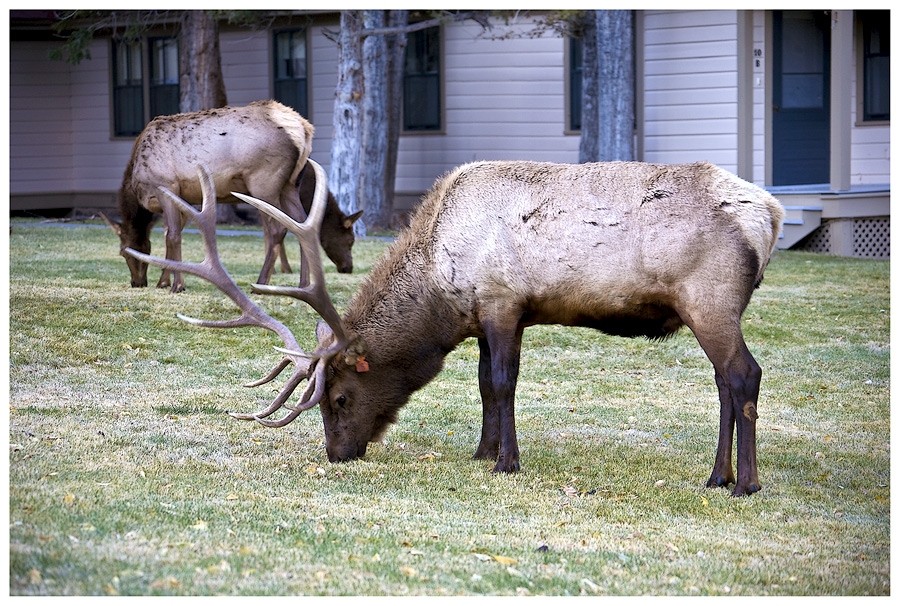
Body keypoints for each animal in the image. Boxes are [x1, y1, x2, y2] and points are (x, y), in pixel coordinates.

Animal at [130, 159, 784, 496]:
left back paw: (744, 483)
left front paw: (506, 463)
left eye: (339, 398)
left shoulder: (501, 300)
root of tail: (772, 214)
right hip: (712, 309)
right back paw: (716, 475)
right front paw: (483, 450)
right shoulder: (494, 313)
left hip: (710, 299)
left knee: (745, 375)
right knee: (725, 384)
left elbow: (501, 383)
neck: (440, 294)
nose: (338, 456)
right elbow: (483, 386)